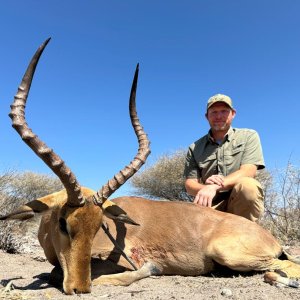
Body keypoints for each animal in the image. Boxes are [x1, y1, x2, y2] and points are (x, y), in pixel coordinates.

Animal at [0, 38, 300, 296]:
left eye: (99, 227)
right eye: (63, 223)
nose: (80, 288)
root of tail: (269, 237)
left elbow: (63, 274)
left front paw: (148, 269)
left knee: (286, 266)